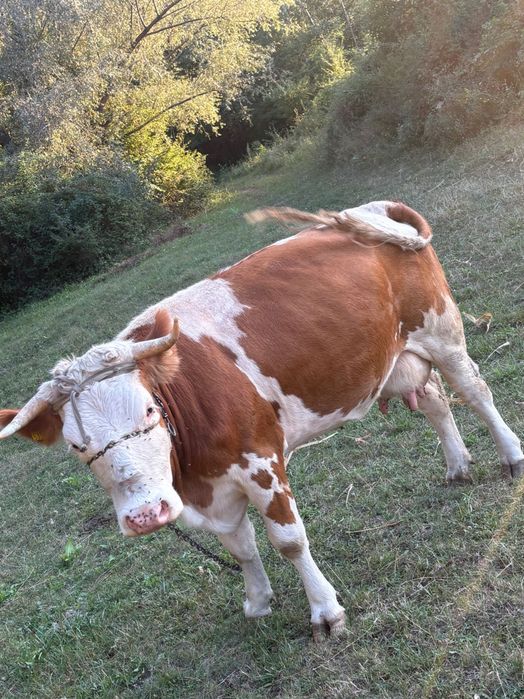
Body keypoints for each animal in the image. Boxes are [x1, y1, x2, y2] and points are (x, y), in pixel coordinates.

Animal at [1, 201, 522, 641]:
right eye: (76, 446)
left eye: (148, 411)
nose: (146, 515)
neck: (193, 474)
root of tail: (380, 206)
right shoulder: (216, 489)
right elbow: (241, 547)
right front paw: (257, 601)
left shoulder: (261, 462)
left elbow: (288, 540)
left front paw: (326, 612)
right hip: (395, 360)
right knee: (435, 401)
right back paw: (457, 465)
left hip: (442, 331)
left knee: (476, 391)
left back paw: (511, 456)